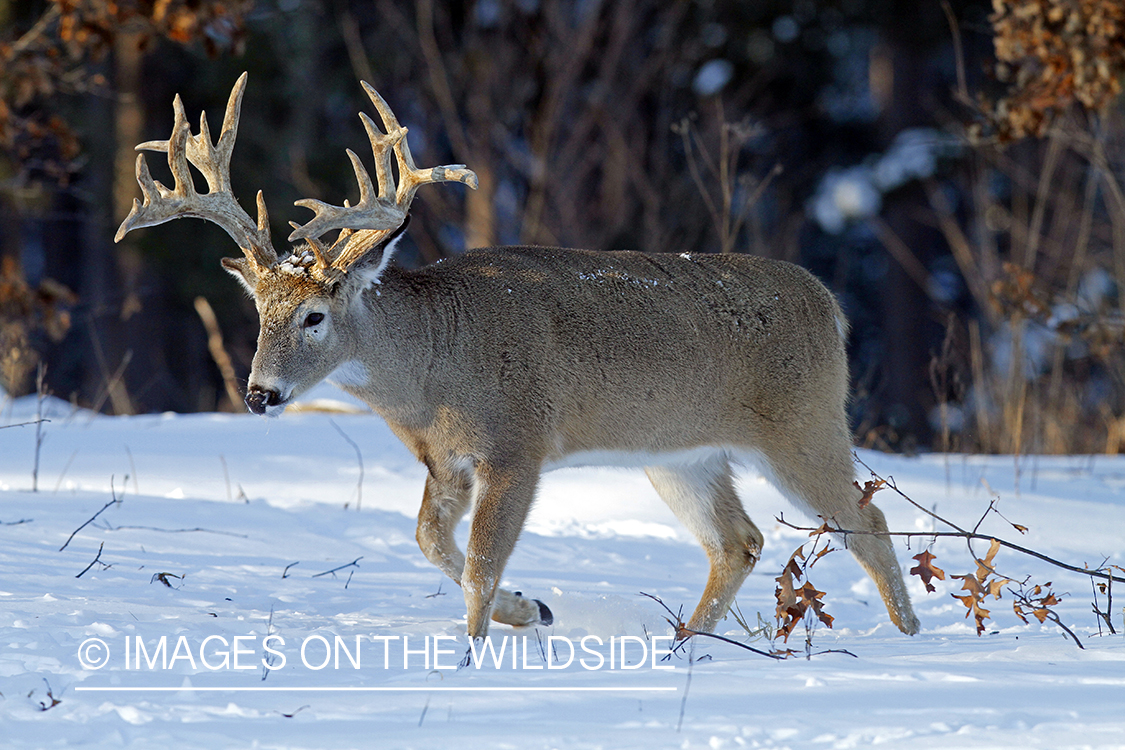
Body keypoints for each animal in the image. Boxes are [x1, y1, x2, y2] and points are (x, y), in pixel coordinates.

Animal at [116, 71, 922, 647]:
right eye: (259, 313)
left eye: (315, 316)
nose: (259, 393)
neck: (432, 369)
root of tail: (830, 305)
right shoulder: (445, 460)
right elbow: (428, 541)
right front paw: (531, 609)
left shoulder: (517, 442)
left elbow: (477, 561)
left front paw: (471, 653)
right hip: (681, 453)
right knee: (739, 541)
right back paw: (681, 648)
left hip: (802, 422)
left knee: (868, 520)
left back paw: (910, 638)